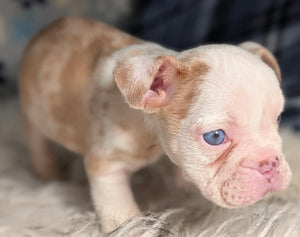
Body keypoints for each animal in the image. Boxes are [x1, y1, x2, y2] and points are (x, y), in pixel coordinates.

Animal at [18, 17, 290, 233]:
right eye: (215, 137)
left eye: (277, 119)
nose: (269, 163)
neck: (148, 129)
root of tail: (44, 32)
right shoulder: (106, 165)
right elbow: (120, 208)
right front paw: (133, 228)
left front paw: (184, 187)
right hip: (32, 111)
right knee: (35, 136)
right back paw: (48, 170)